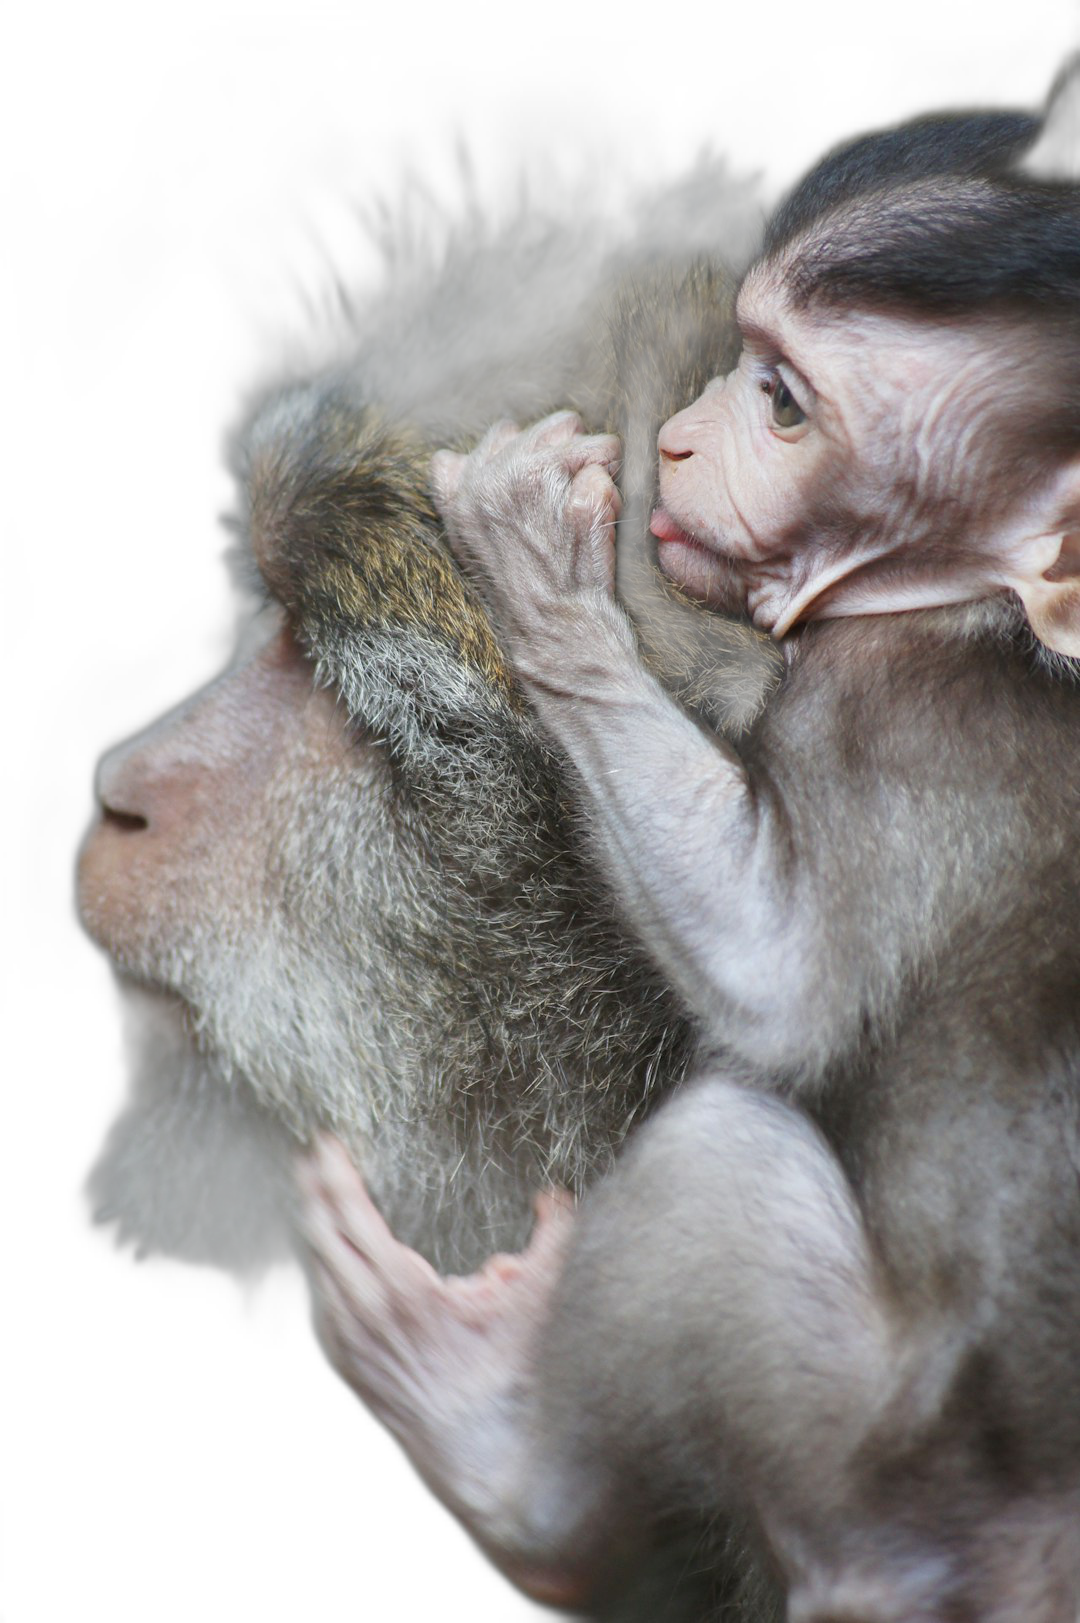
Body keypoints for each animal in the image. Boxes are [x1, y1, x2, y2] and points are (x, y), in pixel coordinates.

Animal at [295, 66, 1078, 1623]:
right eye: (741, 360)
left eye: (780, 404)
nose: (673, 441)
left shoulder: (896, 707)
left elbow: (777, 980)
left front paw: (534, 566)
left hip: (882, 1477)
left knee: (720, 1159)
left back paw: (511, 1477)